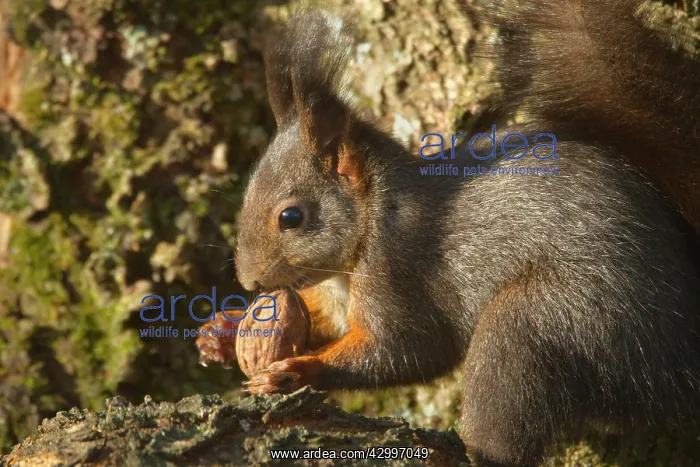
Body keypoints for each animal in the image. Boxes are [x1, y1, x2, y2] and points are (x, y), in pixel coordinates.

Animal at [208, 2, 700, 466]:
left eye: (291, 217)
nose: (249, 281)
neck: (371, 220)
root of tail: (684, 341)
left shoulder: (401, 270)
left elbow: (407, 349)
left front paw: (297, 372)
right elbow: (325, 320)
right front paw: (224, 330)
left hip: (566, 321)